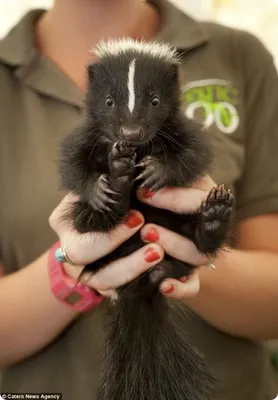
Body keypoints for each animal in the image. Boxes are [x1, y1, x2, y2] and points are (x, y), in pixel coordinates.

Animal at [58, 38, 235, 400]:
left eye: (154, 101)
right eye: (109, 101)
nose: (131, 132)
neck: (137, 149)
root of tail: (141, 286)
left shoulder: (177, 127)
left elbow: (192, 154)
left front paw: (157, 171)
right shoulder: (88, 134)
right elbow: (73, 163)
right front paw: (97, 188)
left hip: (179, 232)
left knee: (195, 238)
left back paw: (213, 219)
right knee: (89, 221)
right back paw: (117, 186)